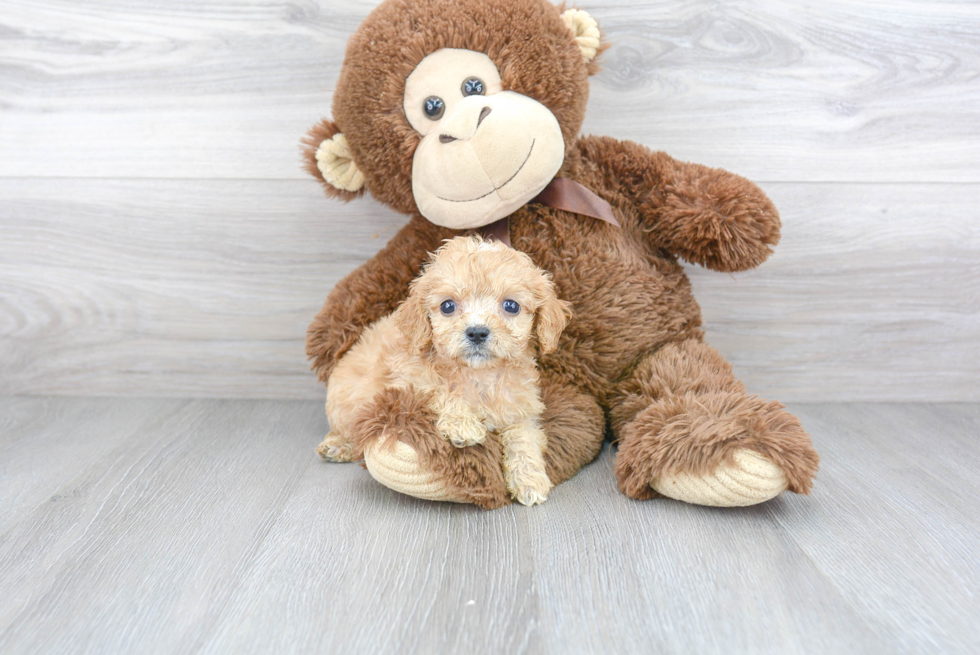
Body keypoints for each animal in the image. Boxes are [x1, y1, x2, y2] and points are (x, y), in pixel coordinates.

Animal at [318, 236, 572, 508]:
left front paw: (530, 480)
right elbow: (440, 390)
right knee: (347, 427)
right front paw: (463, 425)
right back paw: (336, 446)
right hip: (345, 402)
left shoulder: (521, 410)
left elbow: (523, 438)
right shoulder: (409, 383)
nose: (477, 332)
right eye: (448, 306)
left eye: (511, 306)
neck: (479, 375)